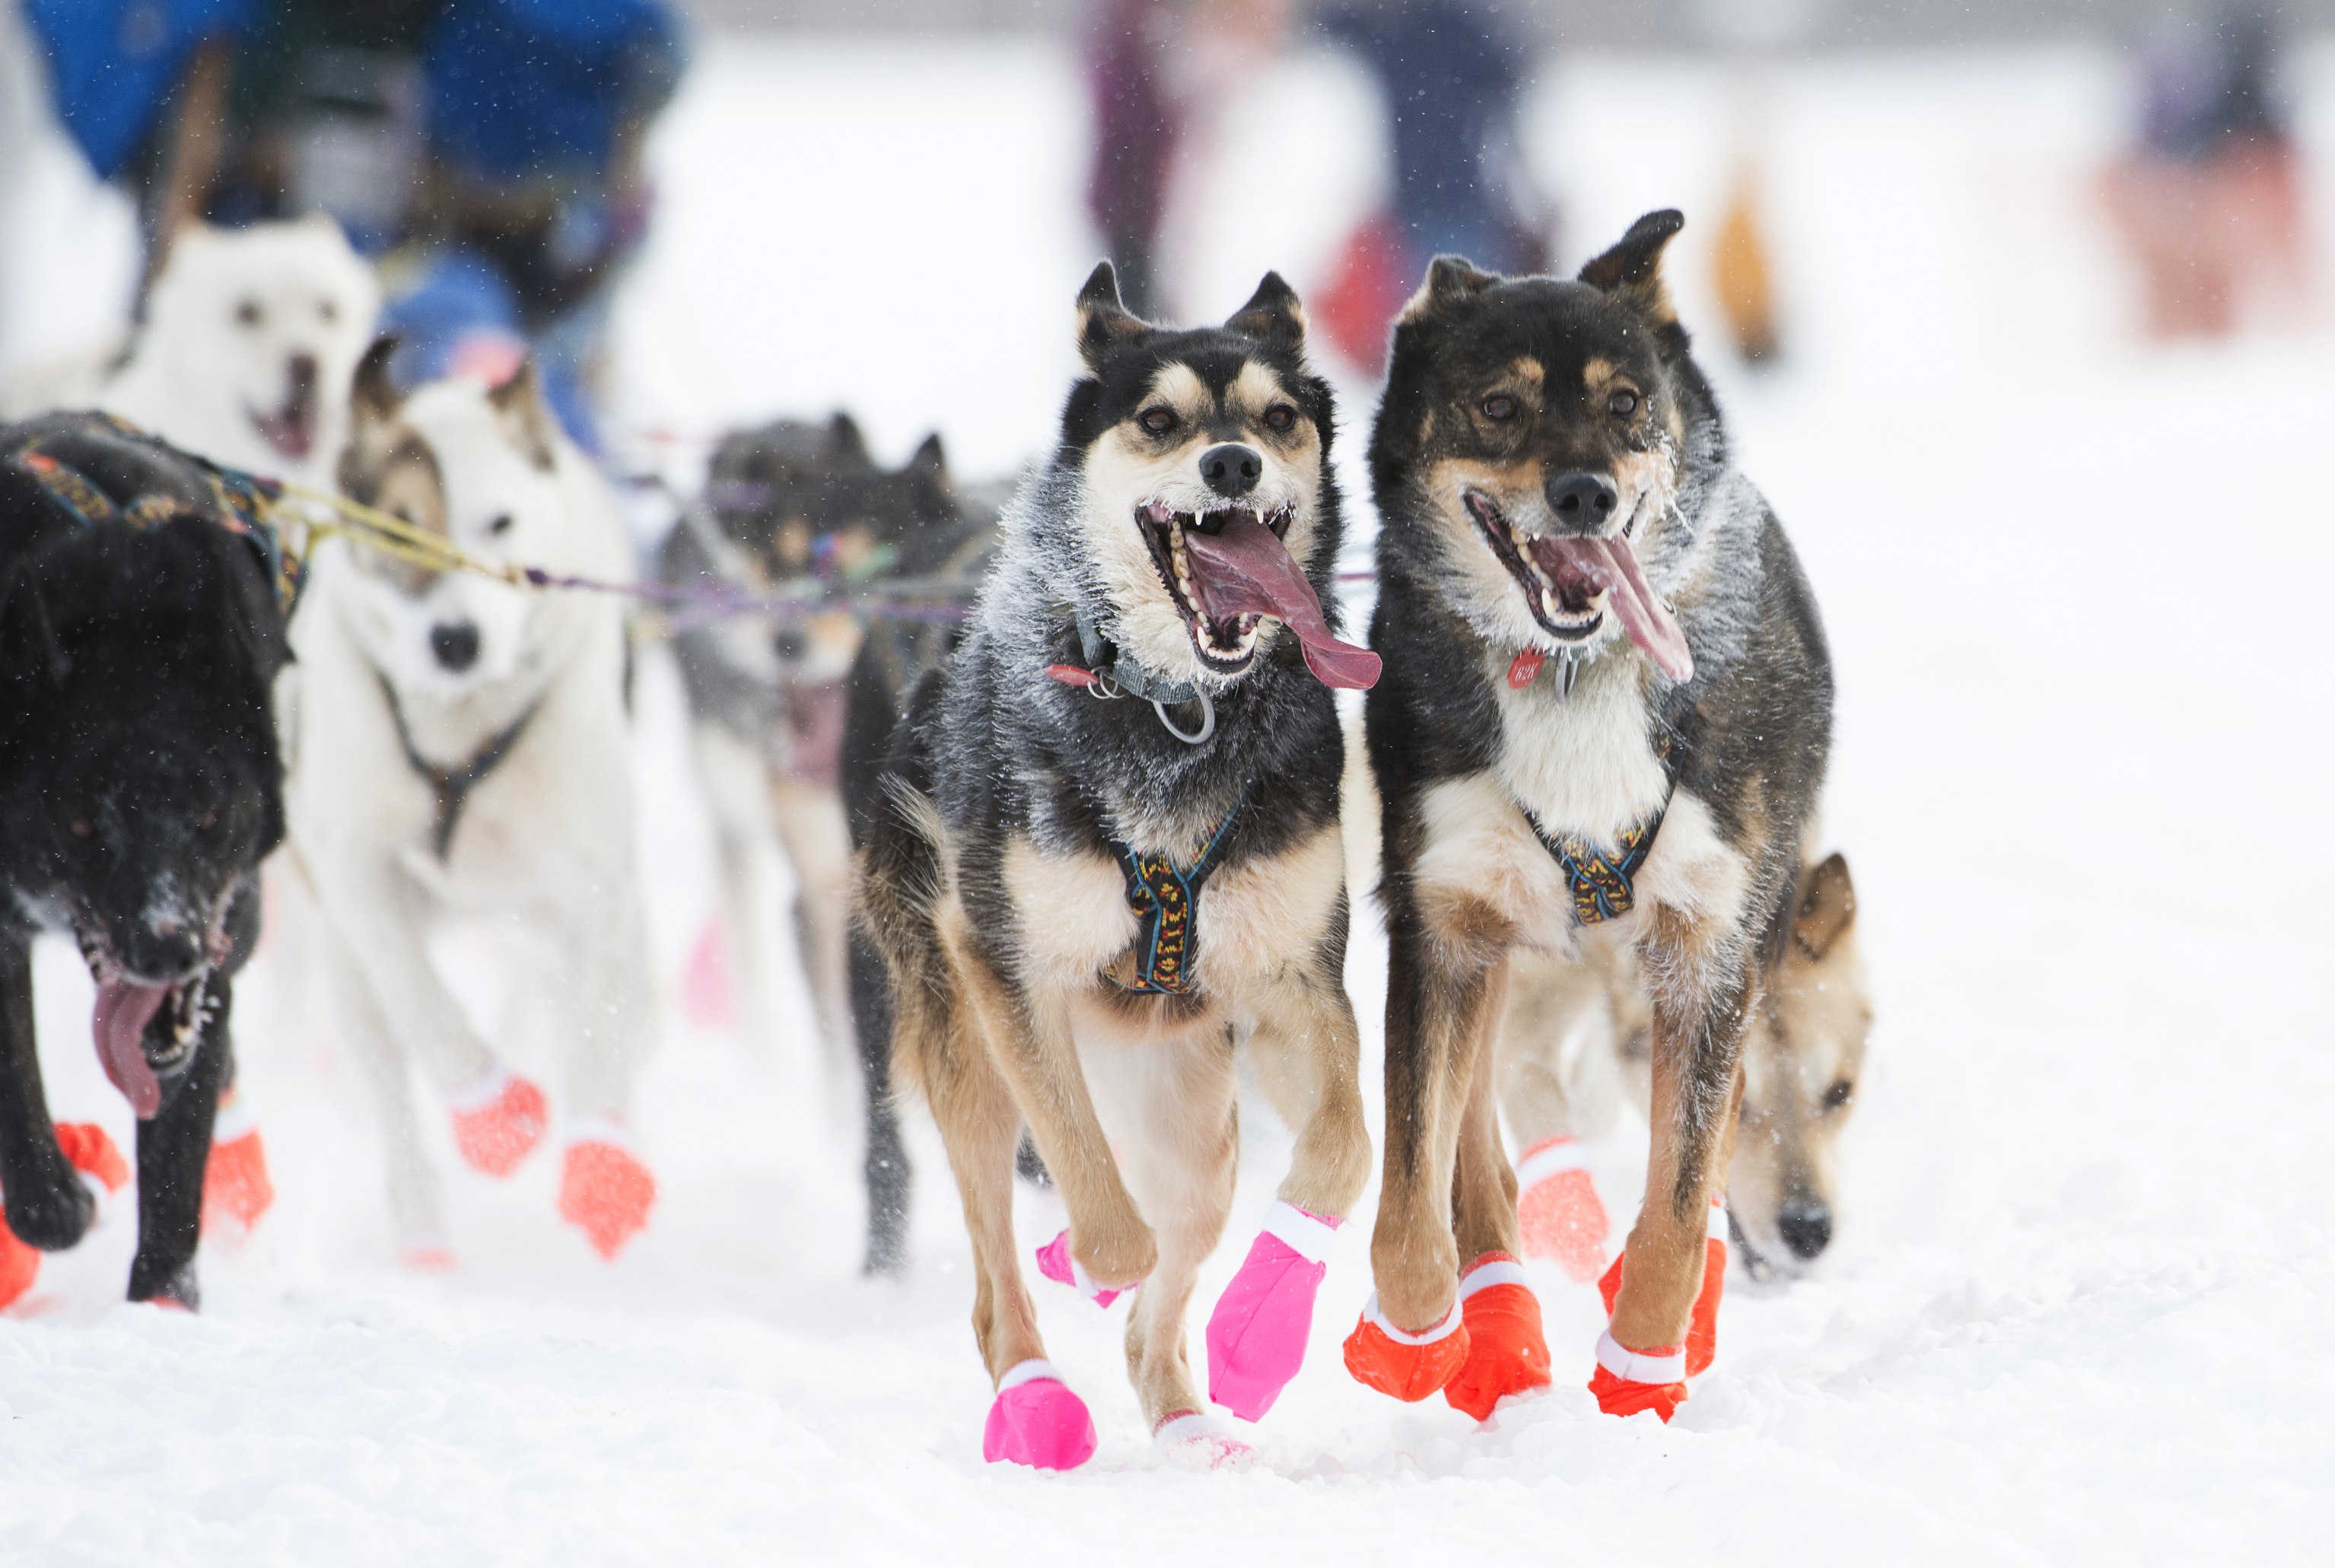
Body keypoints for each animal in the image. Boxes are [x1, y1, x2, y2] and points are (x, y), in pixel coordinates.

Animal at [0, 410, 289, 1306]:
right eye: (82, 824)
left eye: (208, 815)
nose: (168, 947)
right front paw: (61, 1195)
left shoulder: (221, 941)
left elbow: (175, 1167)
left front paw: (165, 1299)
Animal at [289, 342, 667, 1260]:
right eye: (399, 525)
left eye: (498, 523)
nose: (455, 640)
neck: (455, 732)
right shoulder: (357, 872)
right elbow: (423, 1003)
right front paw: (495, 1117)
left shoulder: (595, 884)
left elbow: (597, 1038)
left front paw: (600, 1170)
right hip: (347, 974)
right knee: (393, 1085)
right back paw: (424, 1237)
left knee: (611, 1020)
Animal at [1354, 215, 1840, 1427]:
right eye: (1499, 405)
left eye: (1625, 403)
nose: (1582, 494)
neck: (1579, 670)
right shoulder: (1441, 926)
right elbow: (1415, 1183)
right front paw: (1420, 1335)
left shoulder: (1709, 953)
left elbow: (1680, 1196)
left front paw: (1645, 1367)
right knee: (1477, 1148)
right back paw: (1495, 1320)